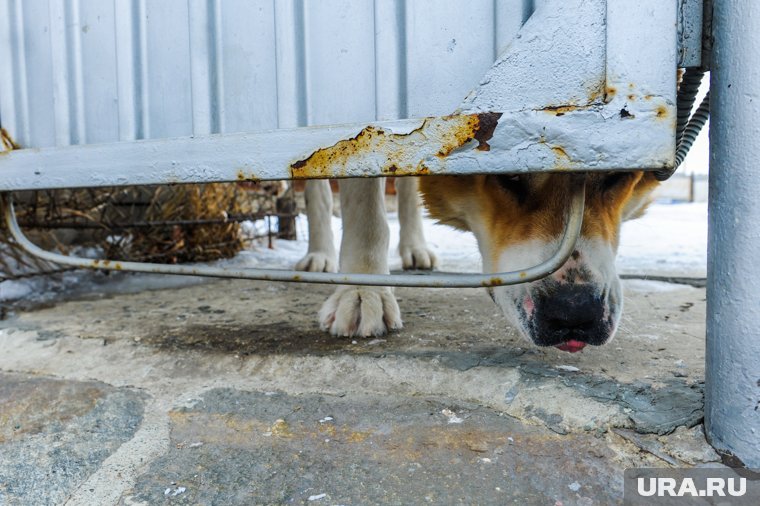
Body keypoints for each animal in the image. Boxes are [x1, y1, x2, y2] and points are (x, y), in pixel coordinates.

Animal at [296, 170, 660, 352]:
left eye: (617, 176)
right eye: (510, 176)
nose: (575, 313)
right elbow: (364, 205)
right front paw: (361, 290)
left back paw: (415, 247)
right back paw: (320, 254)